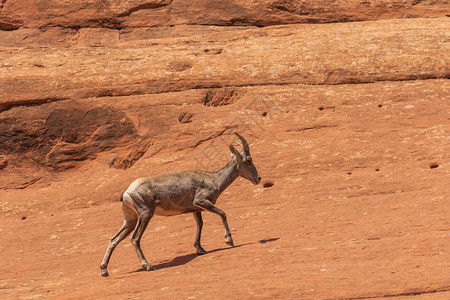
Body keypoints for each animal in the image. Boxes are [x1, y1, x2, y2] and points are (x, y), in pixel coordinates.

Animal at [98, 132, 260, 276]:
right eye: (249, 161)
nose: (258, 179)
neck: (213, 180)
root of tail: (126, 192)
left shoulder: (196, 209)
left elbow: (200, 224)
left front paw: (200, 249)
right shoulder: (201, 201)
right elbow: (222, 213)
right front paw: (229, 240)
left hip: (130, 219)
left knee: (114, 239)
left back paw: (104, 270)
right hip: (145, 214)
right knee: (134, 238)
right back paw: (148, 265)